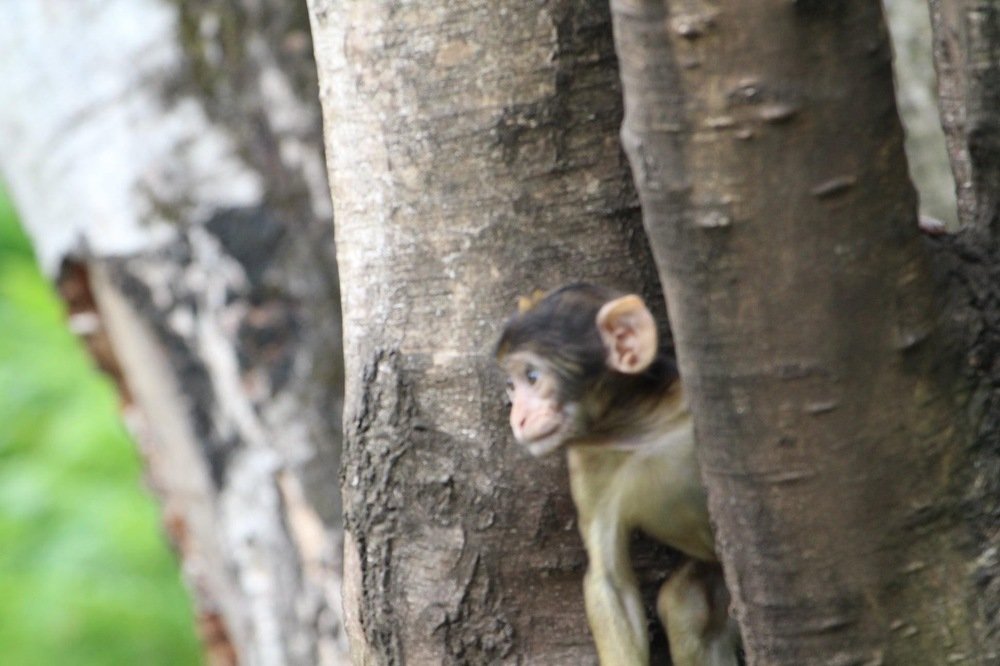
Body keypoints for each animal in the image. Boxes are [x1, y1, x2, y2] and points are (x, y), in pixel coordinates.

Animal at [496, 283, 739, 666]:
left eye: (532, 377)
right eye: (511, 385)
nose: (517, 418)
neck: (639, 430)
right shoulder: (586, 462)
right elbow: (609, 580)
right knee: (685, 604)